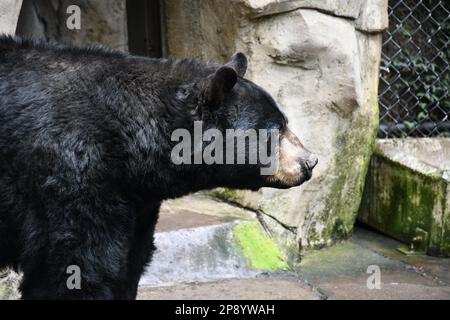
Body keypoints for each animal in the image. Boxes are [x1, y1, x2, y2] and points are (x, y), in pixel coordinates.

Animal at [0, 37, 316, 300]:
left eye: (284, 121)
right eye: (274, 129)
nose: (310, 161)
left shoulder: (135, 199)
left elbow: (130, 261)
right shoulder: (73, 176)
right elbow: (78, 266)